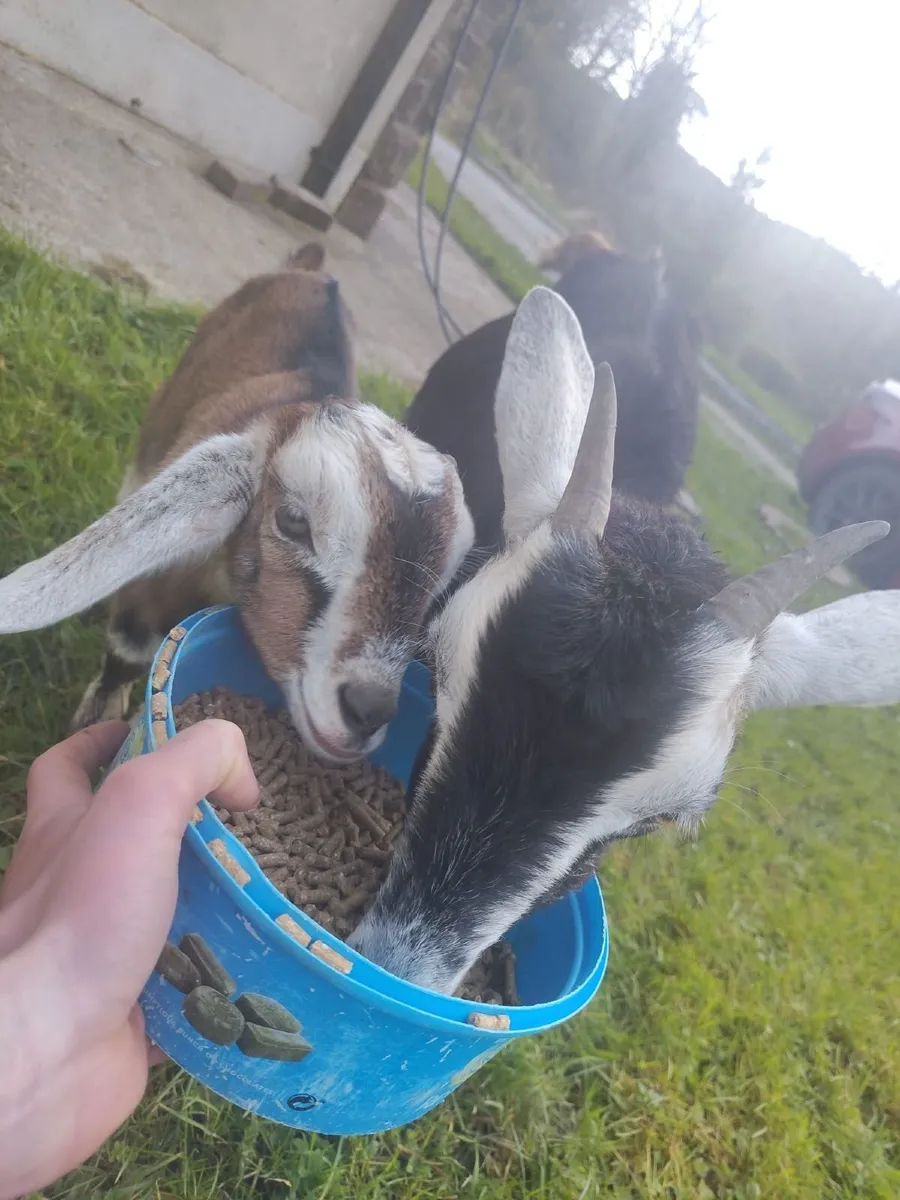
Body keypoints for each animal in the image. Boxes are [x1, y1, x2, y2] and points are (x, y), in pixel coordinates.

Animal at [0, 243, 474, 762]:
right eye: (292, 520)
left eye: (437, 587)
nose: (367, 709)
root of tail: (314, 270)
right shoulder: (148, 595)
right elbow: (125, 653)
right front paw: (92, 722)